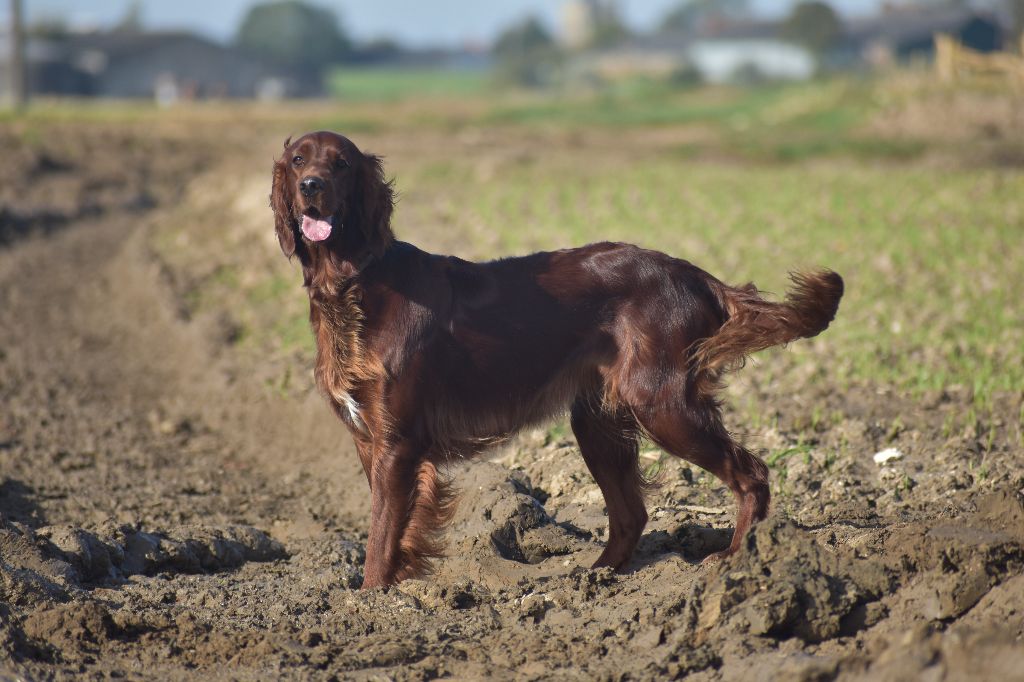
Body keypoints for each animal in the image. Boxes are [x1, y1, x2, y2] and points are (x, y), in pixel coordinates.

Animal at [268, 130, 843, 585]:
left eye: (341, 163)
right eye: (298, 160)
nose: (312, 186)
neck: (355, 283)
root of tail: (692, 274)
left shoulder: (398, 443)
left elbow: (380, 538)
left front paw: (367, 601)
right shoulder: (370, 442)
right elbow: (395, 532)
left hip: (662, 404)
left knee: (752, 473)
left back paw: (736, 559)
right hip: (598, 420)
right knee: (631, 514)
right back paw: (595, 577)